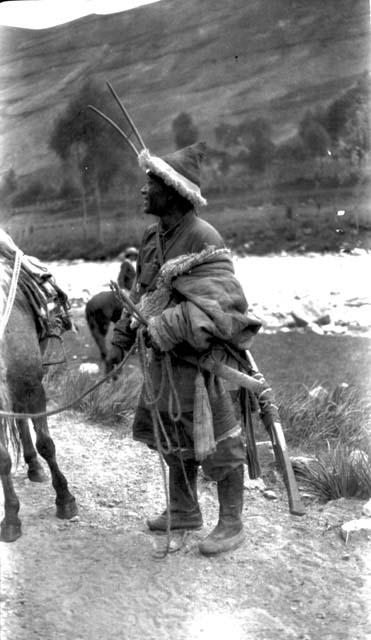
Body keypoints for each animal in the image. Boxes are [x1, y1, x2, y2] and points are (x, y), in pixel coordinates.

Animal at [0, 252, 77, 544]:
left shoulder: (33, 387)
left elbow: (46, 443)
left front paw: (65, 499)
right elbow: (2, 459)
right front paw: (11, 518)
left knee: (24, 420)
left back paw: (36, 467)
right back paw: (32, 465)